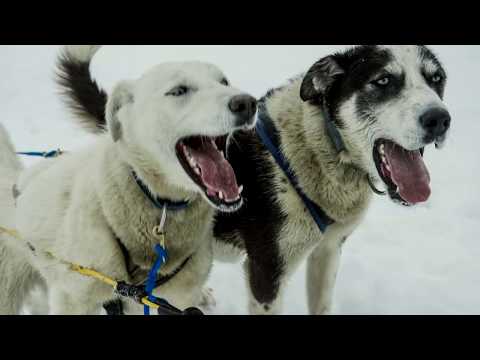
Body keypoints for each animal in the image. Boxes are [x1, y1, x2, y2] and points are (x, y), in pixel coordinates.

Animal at [214, 45, 450, 314]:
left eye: (436, 78)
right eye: (383, 80)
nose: (439, 119)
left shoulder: (328, 249)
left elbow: (322, 304)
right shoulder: (268, 273)